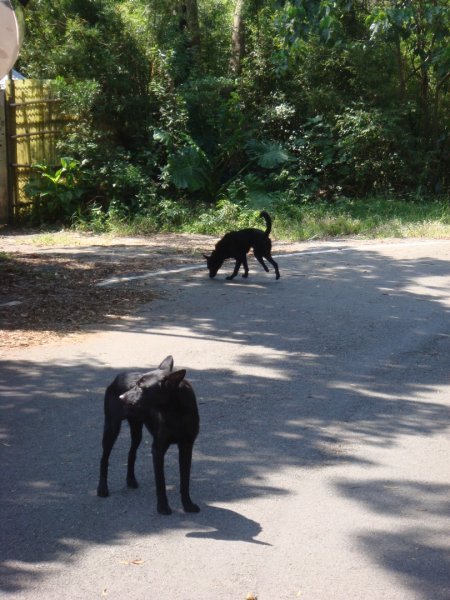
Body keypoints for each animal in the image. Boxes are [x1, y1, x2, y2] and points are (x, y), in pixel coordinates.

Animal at [98, 356, 200, 516]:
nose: (121, 397)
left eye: (141, 387)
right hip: (112, 428)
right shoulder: (158, 449)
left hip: (136, 431)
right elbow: (161, 482)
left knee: (131, 453)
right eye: (137, 384)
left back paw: (131, 480)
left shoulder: (186, 447)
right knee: (104, 459)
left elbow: (185, 481)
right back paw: (102, 488)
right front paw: (163, 507)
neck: (175, 412)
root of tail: (118, 376)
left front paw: (188, 505)